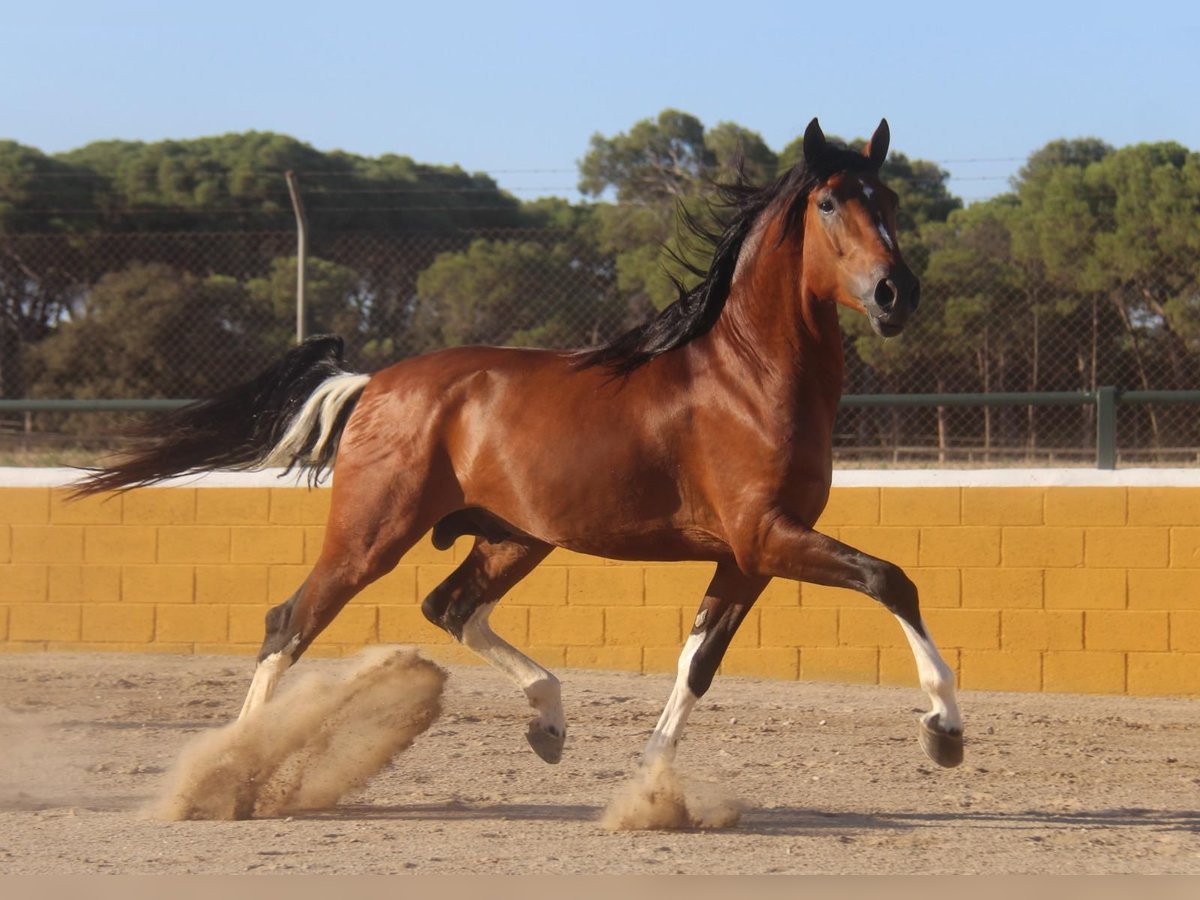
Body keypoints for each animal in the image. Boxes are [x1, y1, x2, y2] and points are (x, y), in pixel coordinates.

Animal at [77, 116, 964, 782]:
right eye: (829, 203)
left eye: (888, 197)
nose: (897, 293)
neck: (748, 378)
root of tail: (375, 382)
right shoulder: (767, 536)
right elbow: (893, 579)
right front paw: (944, 729)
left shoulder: (747, 556)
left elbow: (697, 664)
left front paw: (648, 788)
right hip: (372, 534)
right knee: (288, 621)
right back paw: (230, 771)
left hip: (514, 536)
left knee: (448, 607)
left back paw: (548, 722)